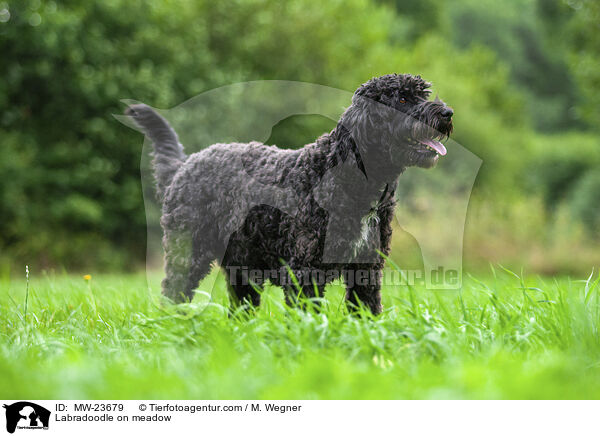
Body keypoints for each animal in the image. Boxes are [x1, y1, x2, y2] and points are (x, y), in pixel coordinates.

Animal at [127, 74, 454, 314]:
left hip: (241, 267)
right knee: (173, 293)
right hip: (189, 253)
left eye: (423, 95)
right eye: (402, 98)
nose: (447, 113)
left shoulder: (366, 268)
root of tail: (183, 167)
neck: (343, 175)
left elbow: (366, 310)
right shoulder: (304, 272)